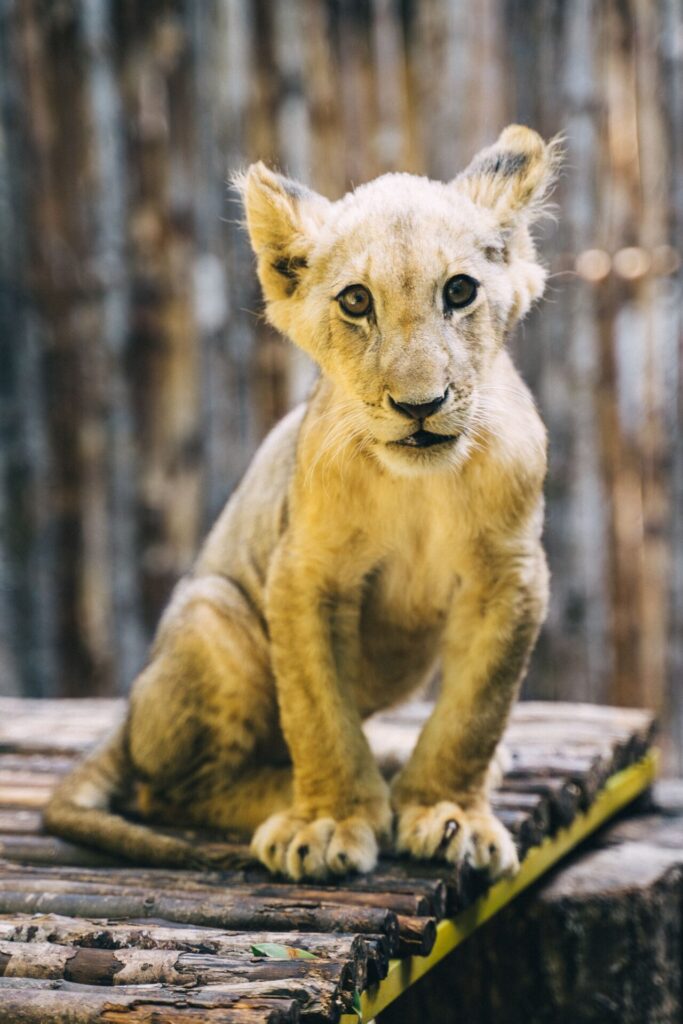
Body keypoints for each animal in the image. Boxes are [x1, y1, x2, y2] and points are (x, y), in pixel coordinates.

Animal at [45, 125, 557, 882]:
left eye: (459, 291)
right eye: (356, 302)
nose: (420, 406)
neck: (420, 485)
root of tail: (125, 718)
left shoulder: (511, 577)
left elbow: (475, 712)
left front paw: (450, 812)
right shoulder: (305, 572)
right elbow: (318, 713)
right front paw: (327, 822)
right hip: (212, 617)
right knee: (165, 790)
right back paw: (321, 792)